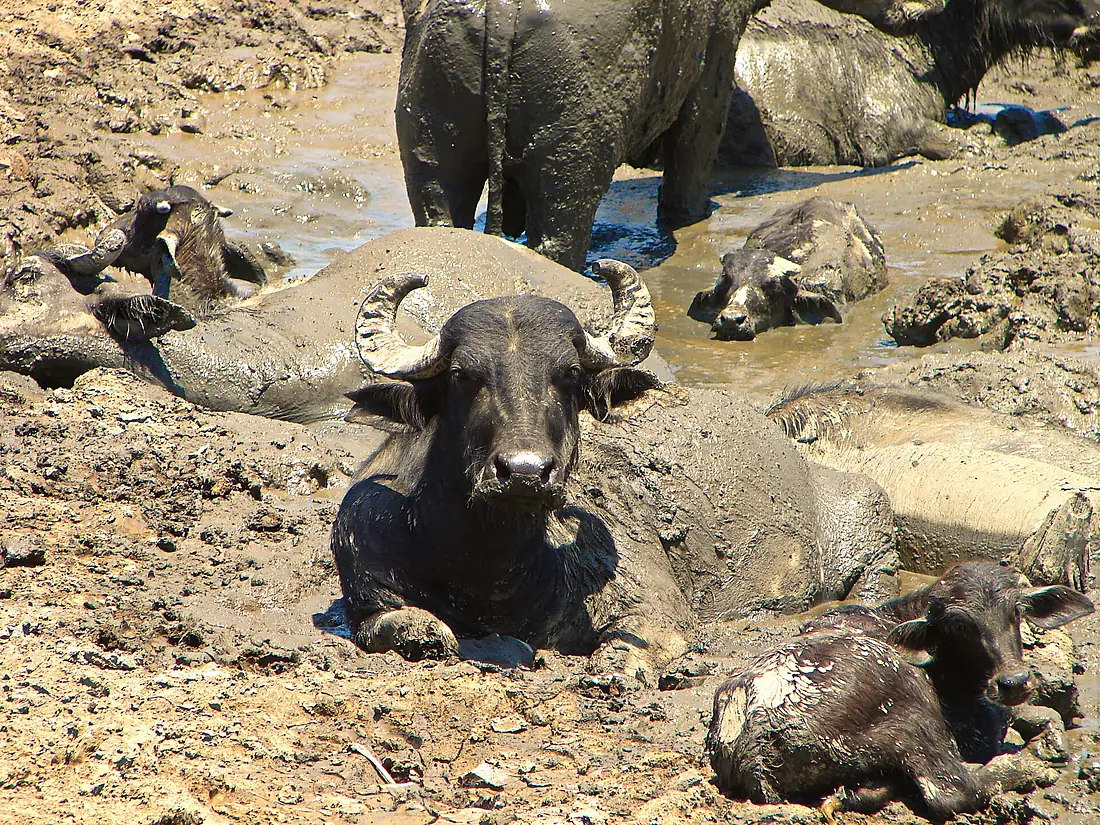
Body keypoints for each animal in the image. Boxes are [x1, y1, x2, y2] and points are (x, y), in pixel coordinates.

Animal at [707, 561, 1094, 819]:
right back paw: (1028, 766)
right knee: (952, 789)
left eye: (1016, 611)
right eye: (959, 625)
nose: (1013, 681)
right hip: (913, 716)